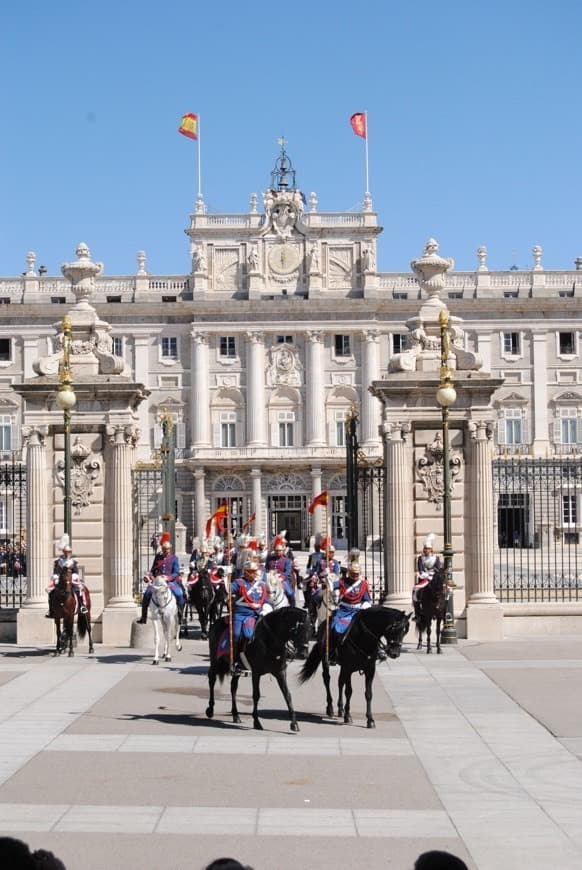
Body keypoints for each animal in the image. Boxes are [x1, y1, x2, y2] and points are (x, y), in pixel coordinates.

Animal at [206, 608, 310, 736]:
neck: (270, 640)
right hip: (215, 661)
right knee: (212, 680)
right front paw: (256, 721)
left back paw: (236, 715)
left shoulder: (280, 673)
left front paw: (294, 724)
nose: (304, 654)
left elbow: (287, 695)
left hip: (237, 669)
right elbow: (256, 695)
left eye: (309, 629)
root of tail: (215, 623)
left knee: (233, 687)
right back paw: (210, 709)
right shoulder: (256, 673)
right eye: (298, 629)